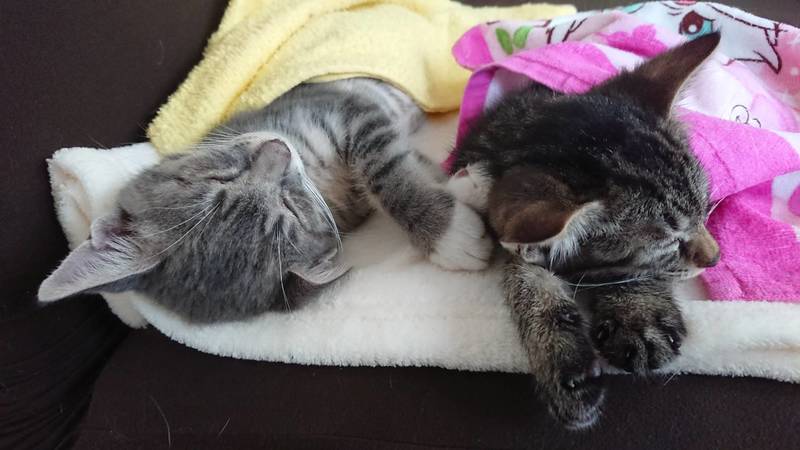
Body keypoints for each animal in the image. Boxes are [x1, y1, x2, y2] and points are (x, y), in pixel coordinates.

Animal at [39, 78, 493, 322]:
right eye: (291, 209)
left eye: (219, 179)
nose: (277, 149)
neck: (317, 176)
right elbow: (404, 163)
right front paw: (458, 208)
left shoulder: (344, 107)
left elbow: (386, 168)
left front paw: (450, 218)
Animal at [446, 33, 721, 428]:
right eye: (670, 243)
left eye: (704, 209)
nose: (716, 258)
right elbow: (525, 275)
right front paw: (563, 360)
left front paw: (638, 314)